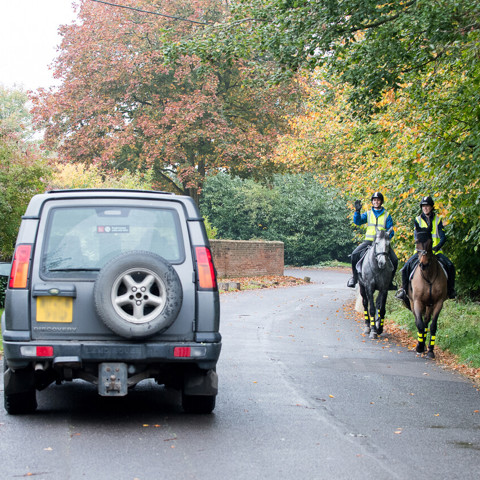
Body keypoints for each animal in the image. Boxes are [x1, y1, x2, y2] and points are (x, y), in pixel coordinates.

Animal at [408, 224, 446, 356]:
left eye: (431, 242)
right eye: (416, 241)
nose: (423, 264)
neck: (428, 276)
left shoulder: (438, 302)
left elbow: (433, 325)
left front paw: (430, 350)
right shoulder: (417, 301)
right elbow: (419, 324)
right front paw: (419, 347)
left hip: (429, 305)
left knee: (426, 321)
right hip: (413, 302)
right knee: (418, 321)